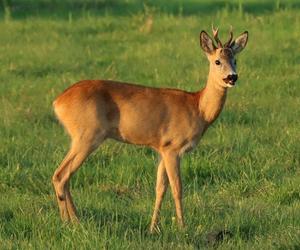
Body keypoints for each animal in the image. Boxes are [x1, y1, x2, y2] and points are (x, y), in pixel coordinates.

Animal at [52, 26, 248, 231]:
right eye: (217, 61)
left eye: (235, 60)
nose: (232, 77)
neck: (198, 108)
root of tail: (58, 102)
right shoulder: (173, 148)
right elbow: (177, 188)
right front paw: (182, 226)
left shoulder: (162, 148)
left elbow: (160, 188)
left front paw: (153, 227)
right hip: (87, 136)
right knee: (60, 175)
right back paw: (70, 222)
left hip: (82, 138)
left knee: (64, 176)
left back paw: (74, 220)